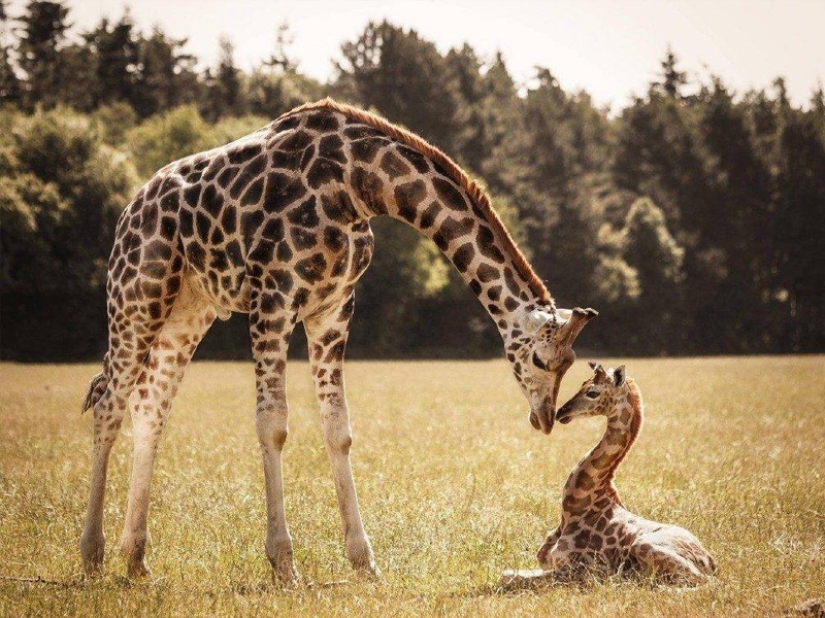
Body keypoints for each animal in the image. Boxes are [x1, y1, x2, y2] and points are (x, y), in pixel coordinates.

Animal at [79, 98, 597, 581]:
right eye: (544, 361)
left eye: (571, 364)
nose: (545, 418)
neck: (358, 183)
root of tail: (129, 210)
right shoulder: (273, 297)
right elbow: (273, 424)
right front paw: (284, 563)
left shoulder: (333, 308)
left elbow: (337, 427)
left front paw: (363, 560)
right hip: (137, 294)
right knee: (110, 405)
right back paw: (91, 555)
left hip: (187, 310)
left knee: (150, 407)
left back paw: (136, 559)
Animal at [504, 362, 716, 587]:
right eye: (581, 385)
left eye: (593, 392)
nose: (561, 412)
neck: (573, 510)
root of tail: (711, 562)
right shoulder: (548, 563)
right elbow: (508, 573)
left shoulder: (574, 572)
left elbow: (508, 577)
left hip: (645, 546)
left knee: (705, 582)